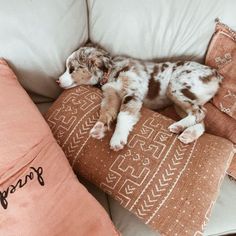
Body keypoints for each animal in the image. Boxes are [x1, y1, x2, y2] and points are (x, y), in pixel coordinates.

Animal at [58, 45, 222, 150]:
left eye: (71, 69)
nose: (57, 81)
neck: (110, 72)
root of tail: (216, 73)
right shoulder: (111, 94)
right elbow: (106, 111)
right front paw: (99, 127)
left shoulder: (133, 93)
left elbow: (123, 115)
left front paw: (117, 139)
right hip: (179, 103)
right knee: (201, 120)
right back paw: (187, 133)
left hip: (175, 88)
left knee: (200, 112)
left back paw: (179, 126)